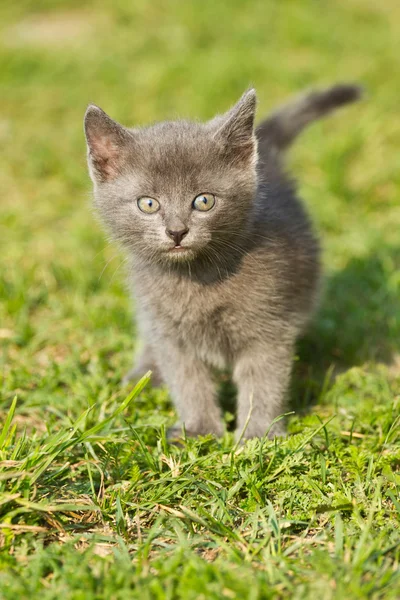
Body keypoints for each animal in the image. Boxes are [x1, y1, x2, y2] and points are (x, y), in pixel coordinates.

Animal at [83, 84, 360, 438]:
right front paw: (199, 430)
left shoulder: (269, 324)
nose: (177, 231)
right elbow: (187, 382)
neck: (197, 277)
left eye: (203, 201)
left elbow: (263, 380)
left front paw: (258, 435)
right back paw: (144, 375)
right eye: (148, 204)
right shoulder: (170, 333)